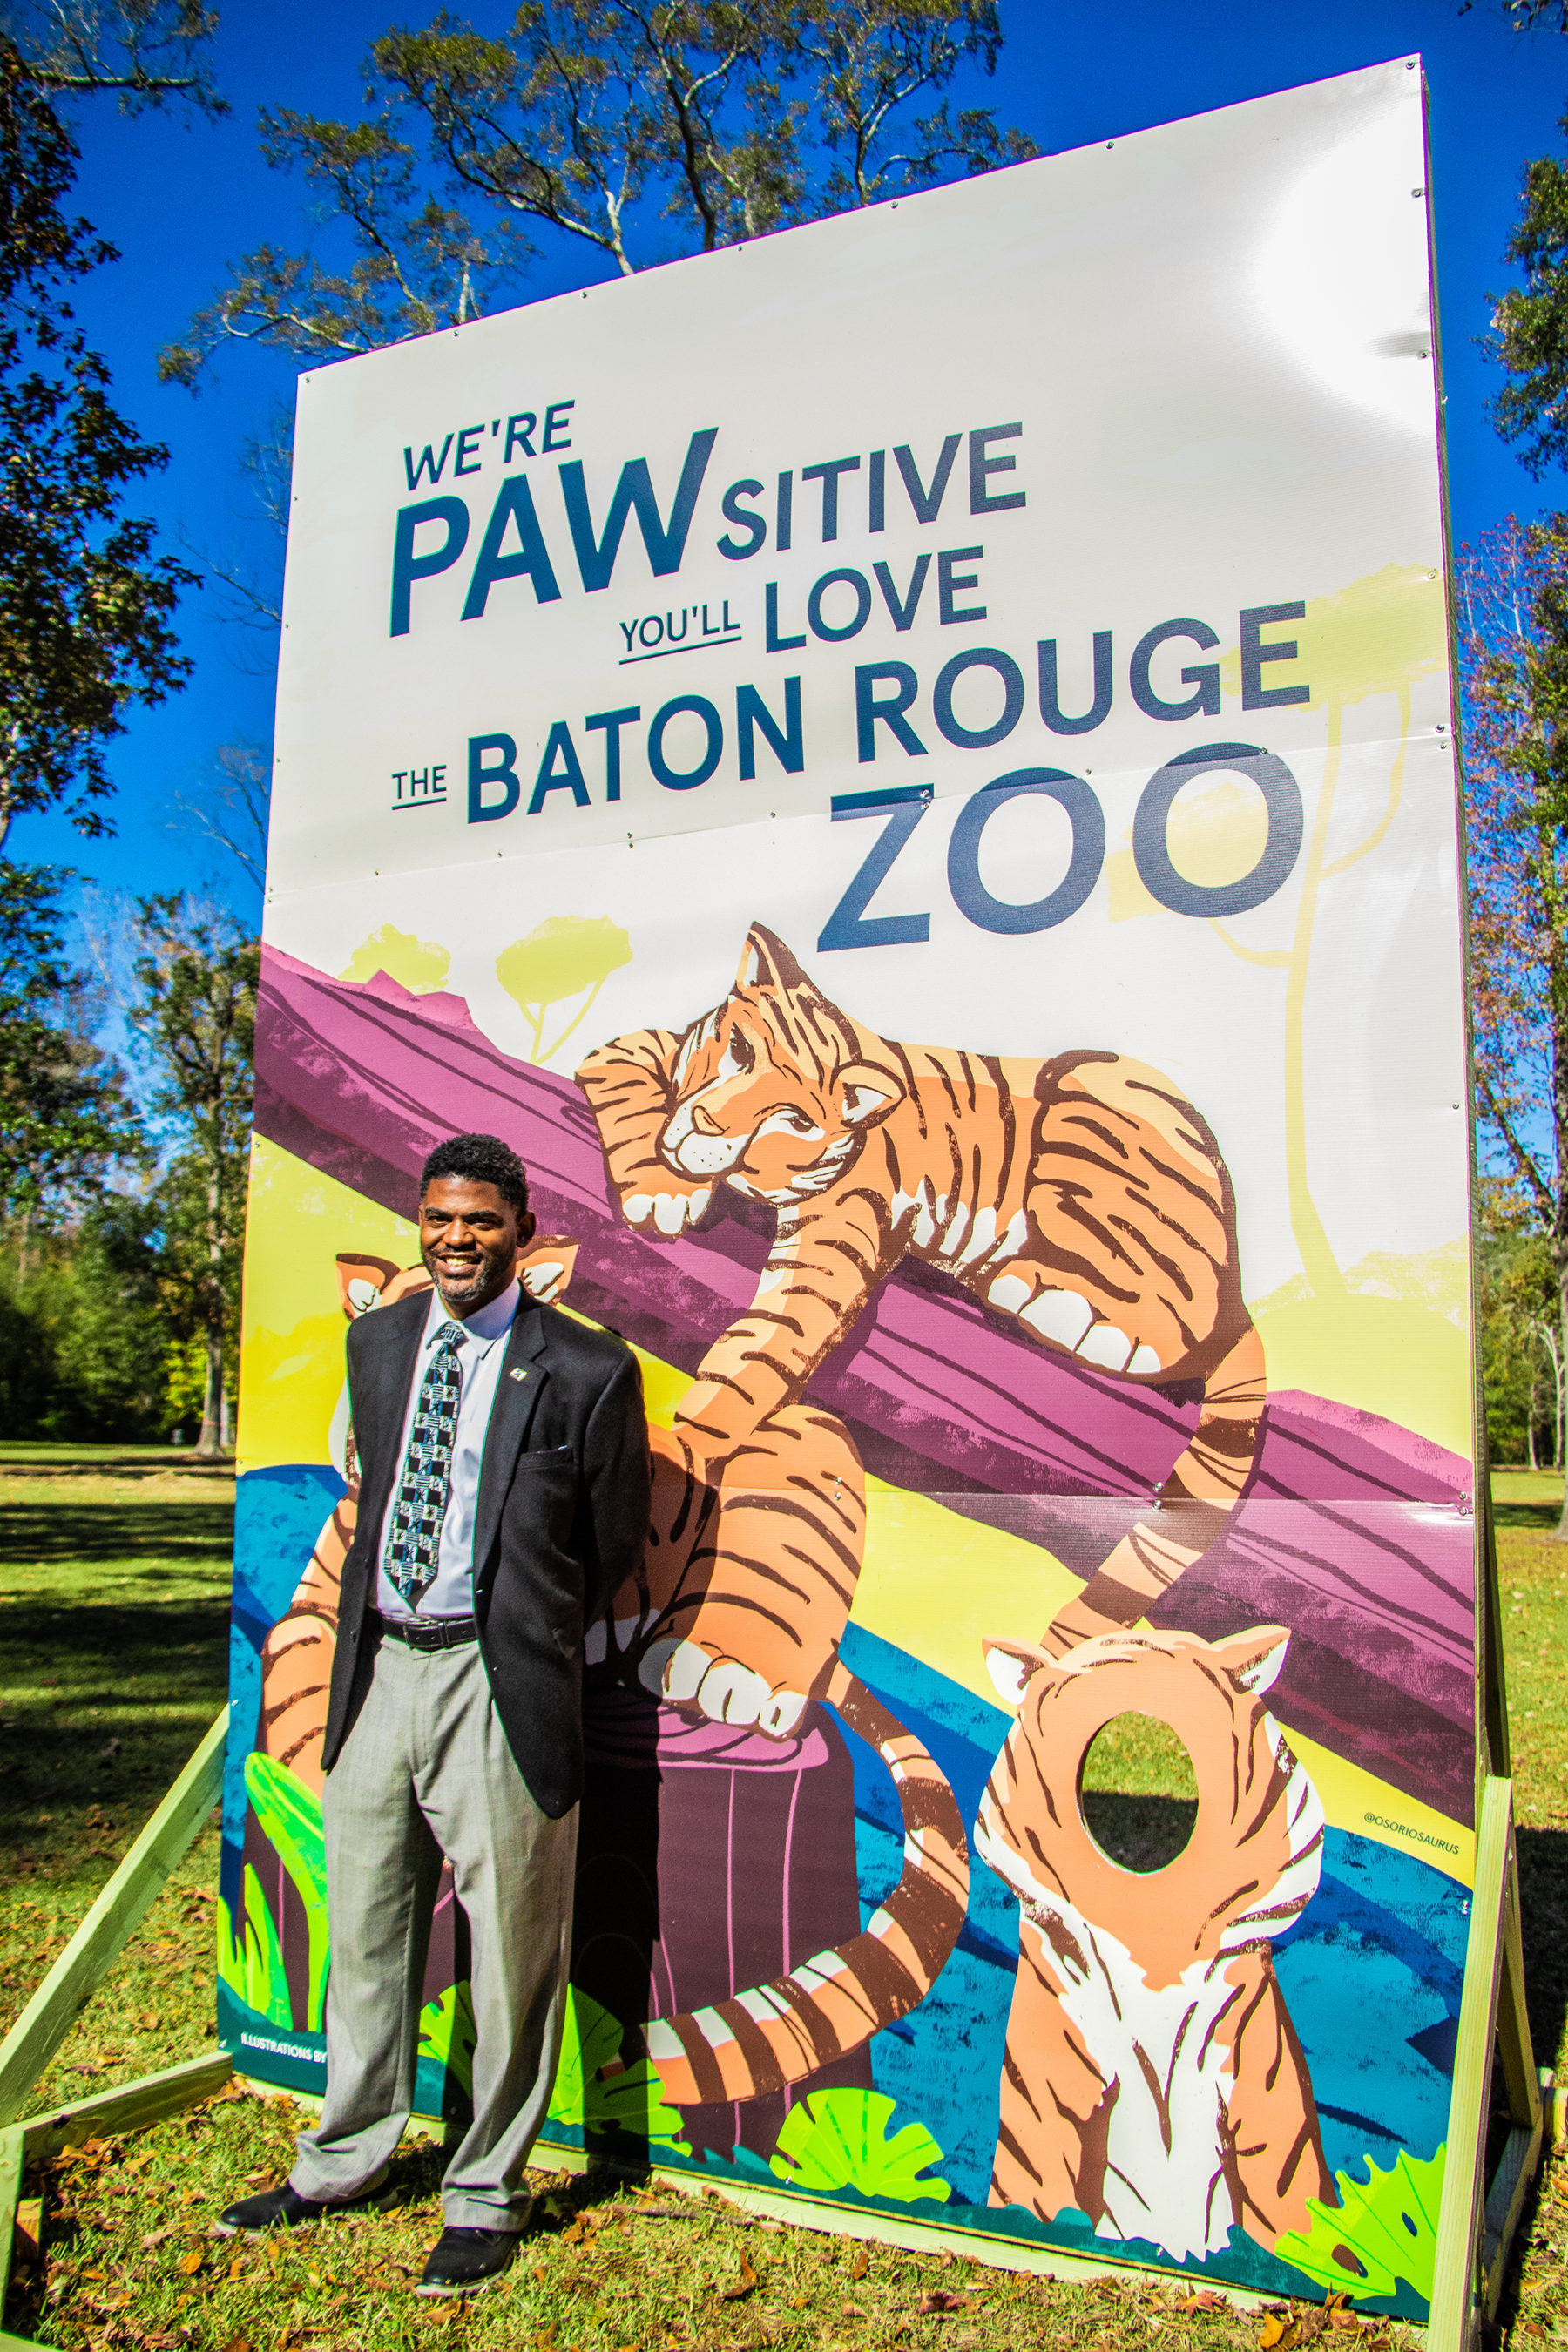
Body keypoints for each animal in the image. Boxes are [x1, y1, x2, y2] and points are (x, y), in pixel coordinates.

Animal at [583, 926, 1269, 1740]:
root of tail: (1238, 1262)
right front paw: (662, 1183)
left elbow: (761, 1349)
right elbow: (626, 1082)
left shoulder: (837, 1231)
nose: (712, 1127)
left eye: (791, 1116)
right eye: (740, 1051)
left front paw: (697, 1439)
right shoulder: (642, 1046)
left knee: (1182, 1311)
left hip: (1096, 1100)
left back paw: (1052, 1296)